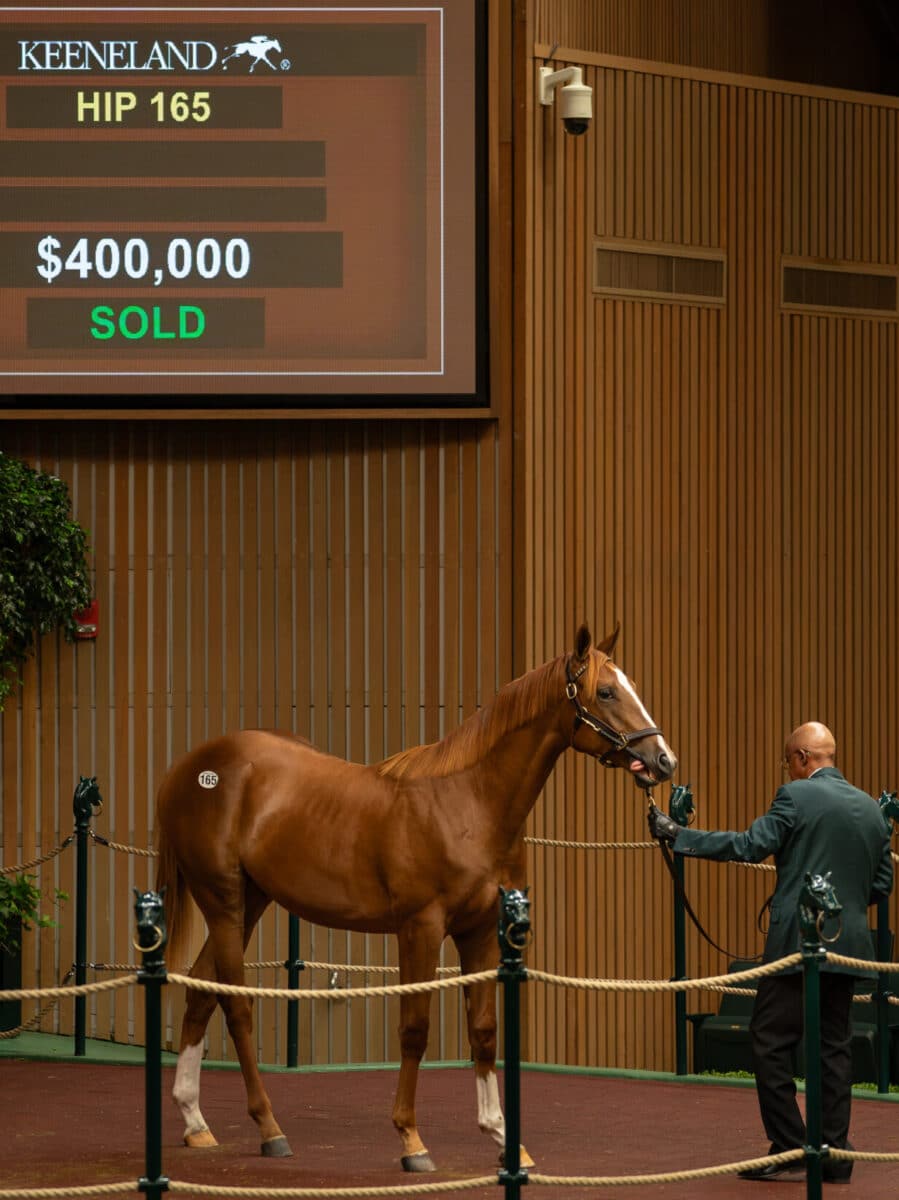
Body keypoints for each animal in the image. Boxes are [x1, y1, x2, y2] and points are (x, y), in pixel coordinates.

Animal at [154, 624, 672, 1166]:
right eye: (606, 691)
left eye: (630, 685)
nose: (663, 760)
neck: (468, 803)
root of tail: (189, 770)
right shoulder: (420, 928)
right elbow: (415, 1029)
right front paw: (411, 1139)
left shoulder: (480, 932)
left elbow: (483, 1031)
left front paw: (503, 1138)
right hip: (223, 902)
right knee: (235, 1007)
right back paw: (270, 1129)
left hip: (249, 902)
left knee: (201, 991)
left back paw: (195, 1122)